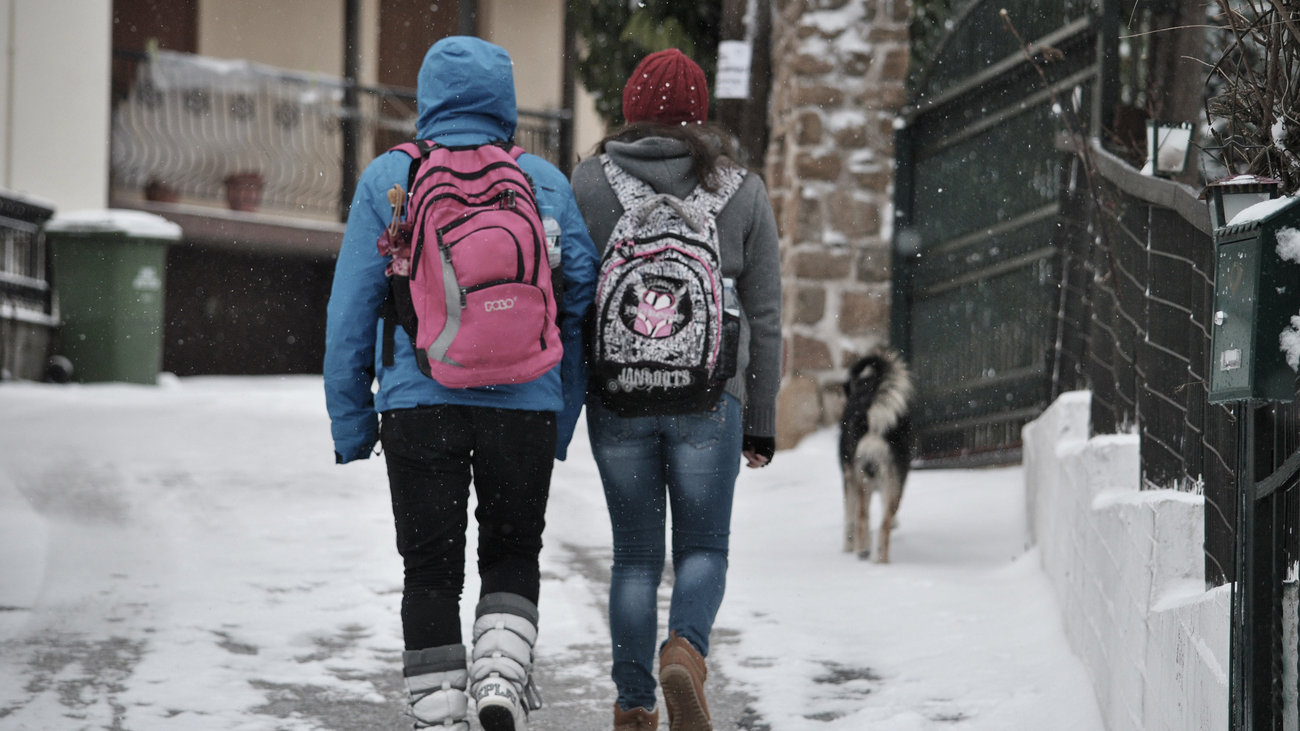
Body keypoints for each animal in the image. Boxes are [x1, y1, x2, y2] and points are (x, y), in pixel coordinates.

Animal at [842, 343, 915, 559]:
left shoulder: (849, 476)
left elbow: (850, 517)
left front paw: (847, 546)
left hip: (861, 478)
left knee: (862, 517)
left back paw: (862, 551)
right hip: (894, 477)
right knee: (883, 523)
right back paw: (880, 559)